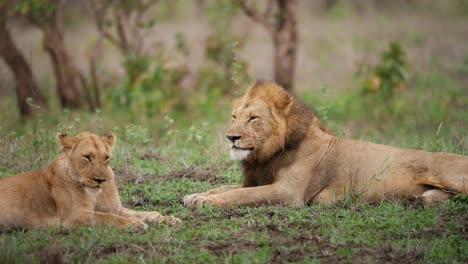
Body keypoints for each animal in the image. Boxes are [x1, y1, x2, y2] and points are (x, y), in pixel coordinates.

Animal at [0, 132, 181, 229]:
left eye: (106, 157)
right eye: (86, 157)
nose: (100, 180)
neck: (95, 192)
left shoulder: (116, 208)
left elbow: (147, 213)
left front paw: (168, 219)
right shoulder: (73, 216)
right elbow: (106, 217)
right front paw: (134, 224)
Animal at [184, 80, 468, 206]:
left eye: (253, 118)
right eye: (234, 117)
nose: (231, 137)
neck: (266, 154)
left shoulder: (288, 192)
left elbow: (240, 194)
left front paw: (204, 202)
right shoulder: (256, 180)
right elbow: (224, 187)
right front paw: (195, 195)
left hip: (449, 174)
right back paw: (427, 197)